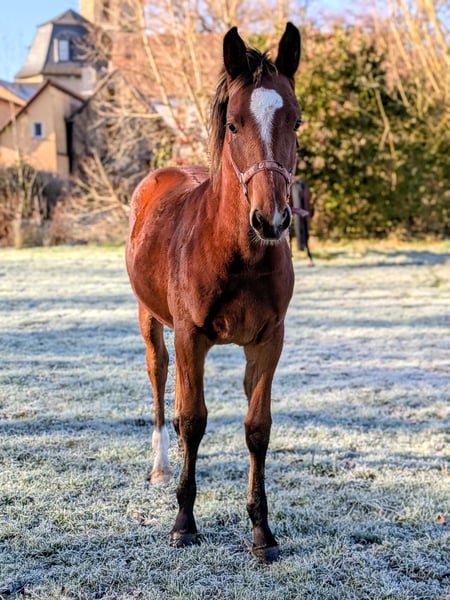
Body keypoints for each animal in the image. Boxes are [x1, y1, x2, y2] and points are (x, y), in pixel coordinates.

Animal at [126, 22, 301, 563]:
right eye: (235, 125)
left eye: (297, 121)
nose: (271, 220)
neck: (236, 254)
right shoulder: (191, 336)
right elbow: (193, 419)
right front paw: (184, 522)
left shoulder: (268, 341)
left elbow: (257, 428)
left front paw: (262, 531)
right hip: (152, 322)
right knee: (161, 382)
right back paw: (161, 467)